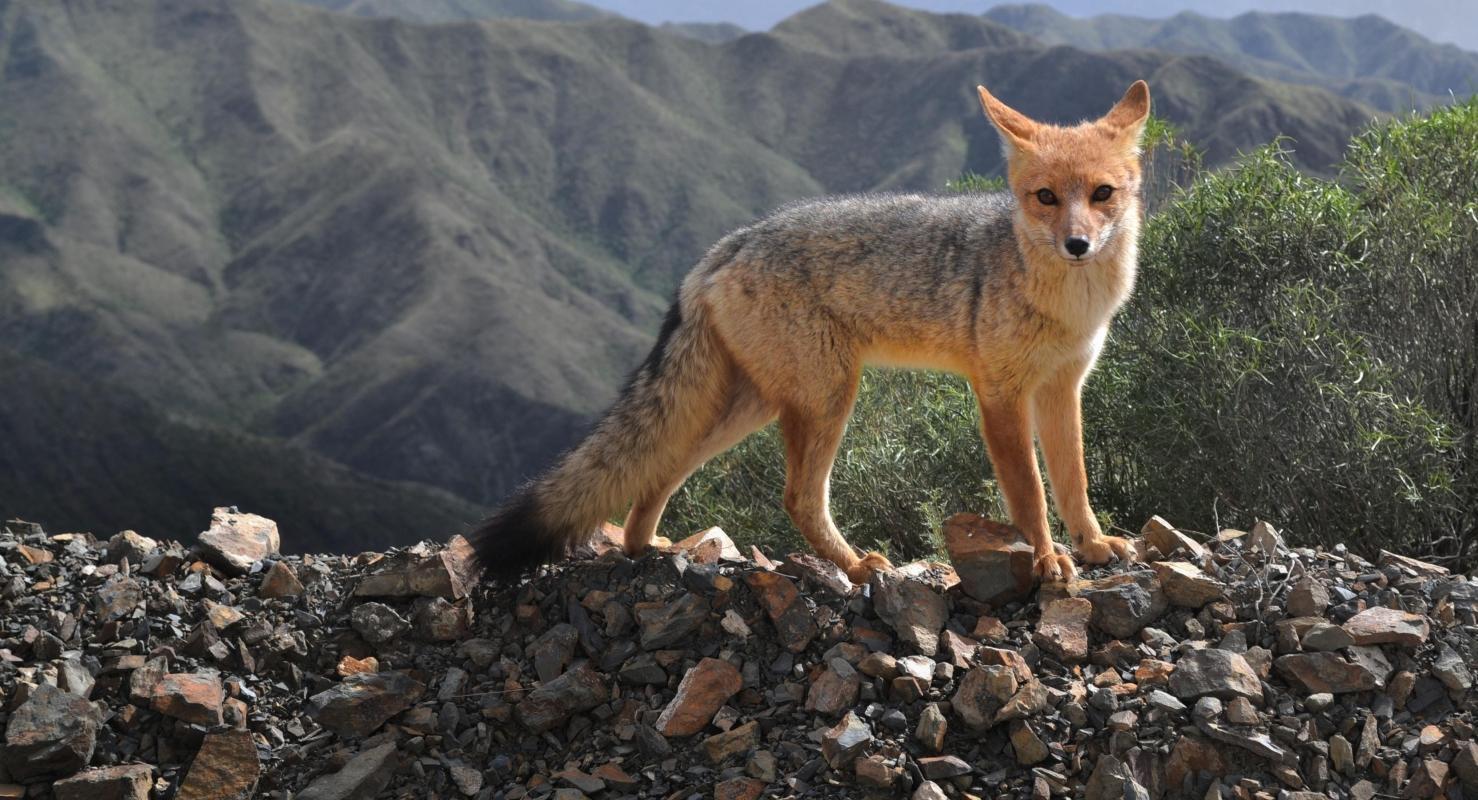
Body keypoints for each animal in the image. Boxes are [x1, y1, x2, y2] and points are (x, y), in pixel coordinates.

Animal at [467, 79, 1146, 579]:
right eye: (1046, 197)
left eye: (1102, 193)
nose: (1078, 245)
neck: (1069, 304)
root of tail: (728, 245)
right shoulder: (1000, 394)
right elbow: (1029, 494)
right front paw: (1047, 560)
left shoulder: (1062, 388)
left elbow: (1073, 478)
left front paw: (1092, 544)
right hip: (826, 399)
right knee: (796, 497)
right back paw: (856, 564)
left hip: (753, 407)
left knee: (662, 466)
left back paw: (645, 547)